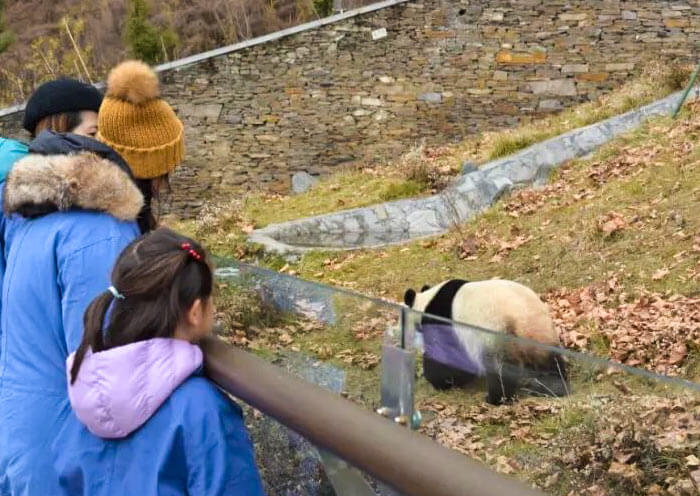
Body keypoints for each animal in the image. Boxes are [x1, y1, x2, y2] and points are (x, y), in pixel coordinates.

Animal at [403, 279, 569, 405]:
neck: (425, 303)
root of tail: (522, 319)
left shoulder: (443, 319)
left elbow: (446, 356)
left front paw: (440, 381)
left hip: (495, 331)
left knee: (499, 367)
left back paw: (497, 398)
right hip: (541, 331)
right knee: (550, 361)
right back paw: (552, 387)